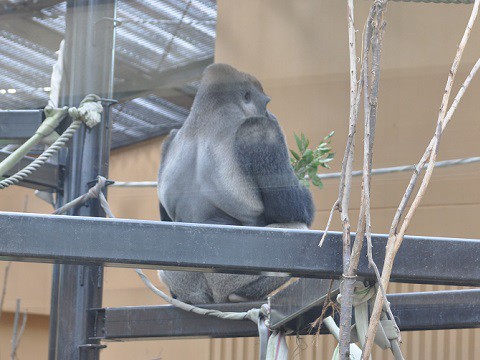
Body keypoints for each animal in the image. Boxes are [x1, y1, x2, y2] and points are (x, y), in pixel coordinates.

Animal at [158, 63, 316, 302]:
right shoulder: (261, 130)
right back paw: (241, 296)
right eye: (266, 103)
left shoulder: (168, 140)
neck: (207, 114)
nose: (271, 114)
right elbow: (293, 209)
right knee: (295, 228)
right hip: (227, 280)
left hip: (183, 281)